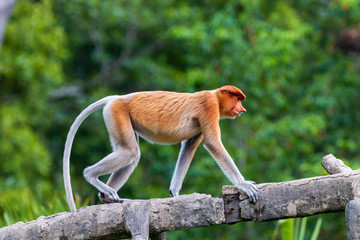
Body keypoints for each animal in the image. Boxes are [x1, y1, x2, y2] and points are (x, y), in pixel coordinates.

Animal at [63, 86, 258, 212]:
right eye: (237, 98)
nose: (242, 109)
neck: (216, 96)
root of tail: (116, 98)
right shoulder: (208, 107)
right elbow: (213, 144)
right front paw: (244, 185)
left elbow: (189, 146)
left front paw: (175, 193)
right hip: (117, 112)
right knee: (130, 151)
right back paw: (91, 176)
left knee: (132, 154)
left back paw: (109, 198)